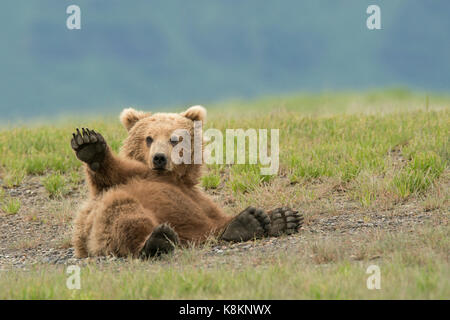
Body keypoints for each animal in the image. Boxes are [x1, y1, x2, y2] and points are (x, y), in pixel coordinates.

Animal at [70, 106, 302, 258]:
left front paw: (284, 216)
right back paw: (157, 240)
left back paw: (269, 219)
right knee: (123, 212)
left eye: (175, 139)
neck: (170, 177)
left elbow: (212, 212)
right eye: (148, 138)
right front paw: (90, 146)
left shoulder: (195, 196)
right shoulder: (130, 176)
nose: (159, 158)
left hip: (195, 227)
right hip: (104, 221)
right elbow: (107, 175)